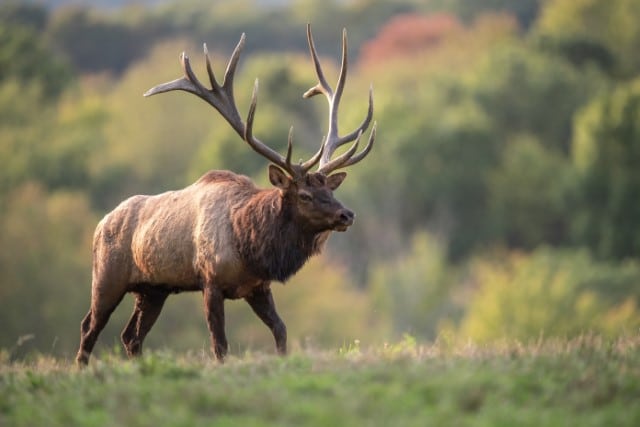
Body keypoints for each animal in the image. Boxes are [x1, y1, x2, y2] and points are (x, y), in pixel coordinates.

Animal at [75, 24, 376, 364]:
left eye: (328, 188)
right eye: (304, 196)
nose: (346, 214)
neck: (250, 244)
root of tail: (101, 223)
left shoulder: (257, 286)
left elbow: (281, 331)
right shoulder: (211, 281)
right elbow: (220, 344)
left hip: (153, 289)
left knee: (131, 336)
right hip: (106, 277)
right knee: (89, 327)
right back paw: (81, 368)